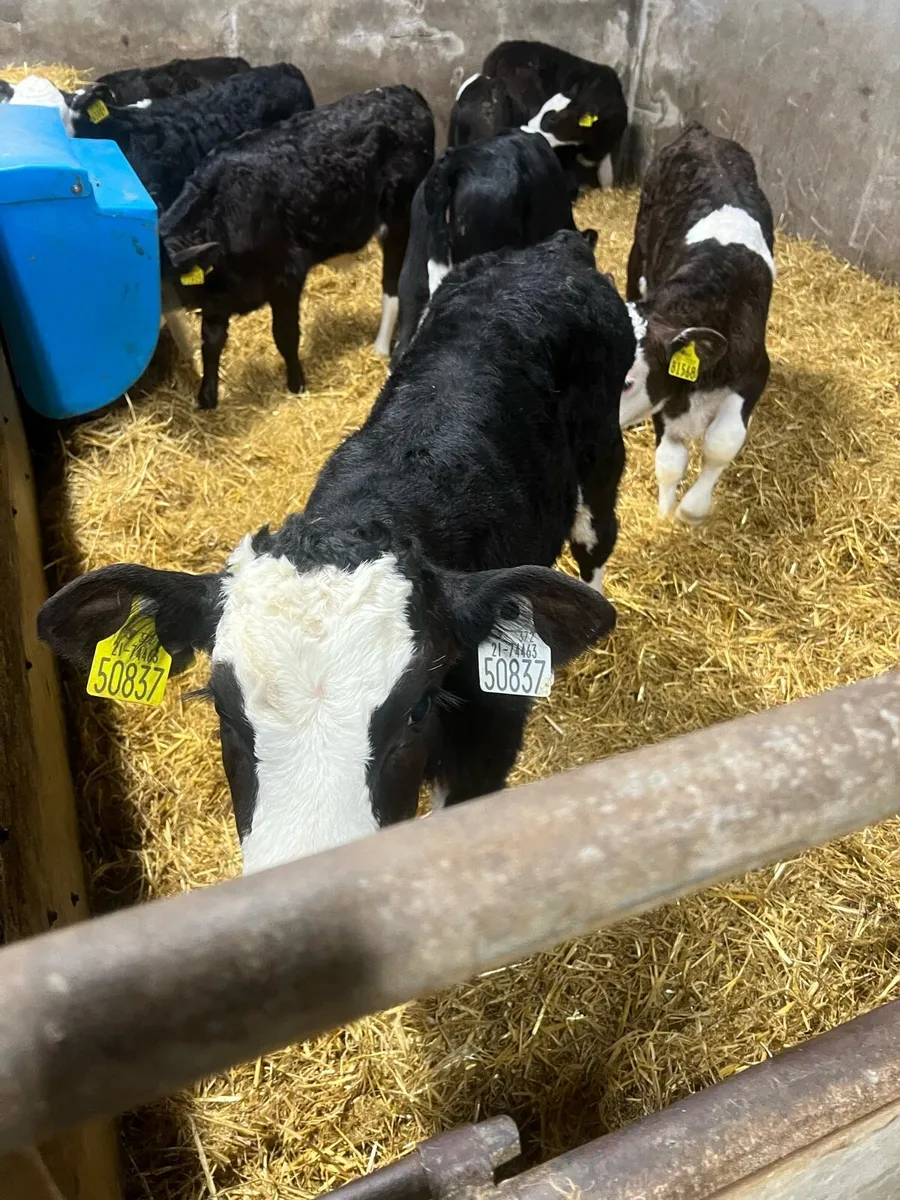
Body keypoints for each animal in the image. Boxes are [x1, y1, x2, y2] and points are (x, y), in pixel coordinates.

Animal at [38, 231, 633, 875]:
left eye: (417, 709)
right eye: (222, 709)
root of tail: (553, 247)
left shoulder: (487, 743)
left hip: (603, 452)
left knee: (596, 536)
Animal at [158, 86, 435, 408]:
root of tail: (405, 92)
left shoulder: (286, 275)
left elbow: (285, 335)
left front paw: (296, 384)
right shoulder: (217, 296)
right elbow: (211, 342)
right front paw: (207, 398)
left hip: (399, 217)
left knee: (393, 285)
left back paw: (380, 346)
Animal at [621, 121, 776, 524]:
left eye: (627, 382)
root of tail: (701, 133)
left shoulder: (756, 369)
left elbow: (721, 442)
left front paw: (692, 510)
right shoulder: (668, 394)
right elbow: (670, 460)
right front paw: (664, 514)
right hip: (638, 250)